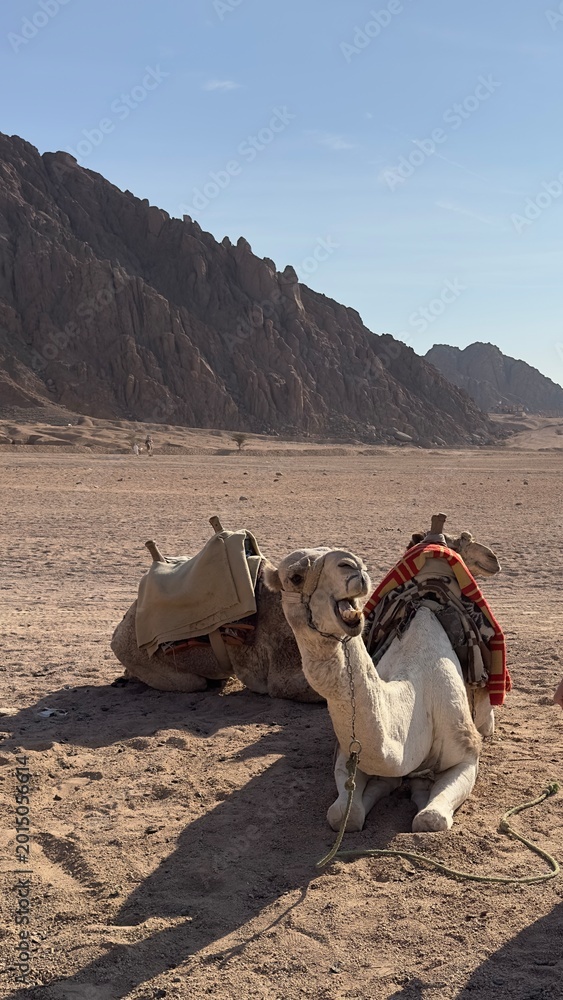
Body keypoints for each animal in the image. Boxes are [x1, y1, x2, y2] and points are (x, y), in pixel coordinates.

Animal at [110, 524, 500, 706]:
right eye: (461, 544)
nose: (493, 559)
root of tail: (122, 627)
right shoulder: (280, 677)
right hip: (158, 665)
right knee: (189, 682)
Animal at [264, 544, 487, 833]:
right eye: (295, 577)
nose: (352, 565)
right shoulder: (347, 753)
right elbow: (343, 815)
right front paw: (401, 787)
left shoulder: (467, 753)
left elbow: (430, 819)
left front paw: (421, 792)